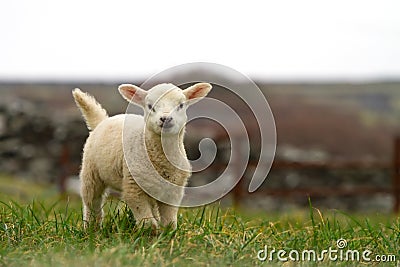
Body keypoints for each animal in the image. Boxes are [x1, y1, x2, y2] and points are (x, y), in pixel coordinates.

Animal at [73, 82, 214, 231]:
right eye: (150, 106)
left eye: (181, 105)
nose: (165, 119)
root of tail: (103, 121)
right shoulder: (134, 187)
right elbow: (147, 221)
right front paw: (150, 233)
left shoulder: (174, 190)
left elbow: (169, 221)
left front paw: (167, 233)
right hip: (90, 172)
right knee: (92, 201)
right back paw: (91, 228)